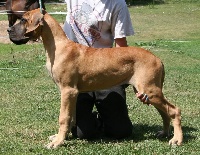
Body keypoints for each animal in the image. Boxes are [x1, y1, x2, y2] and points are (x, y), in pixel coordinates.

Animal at [7, 8, 183, 149]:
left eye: (23, 20)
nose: (8, 30)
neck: (58, 45)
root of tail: (157, 58)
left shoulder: (67, 90)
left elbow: (63, 117)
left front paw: (57, 142)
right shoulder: (72, 94)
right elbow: (71, 117)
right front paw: (62, 137)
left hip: (150, 90)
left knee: (174, 110)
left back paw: (177, 139)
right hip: (147, 91)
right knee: (165, 112)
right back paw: (165, 133)